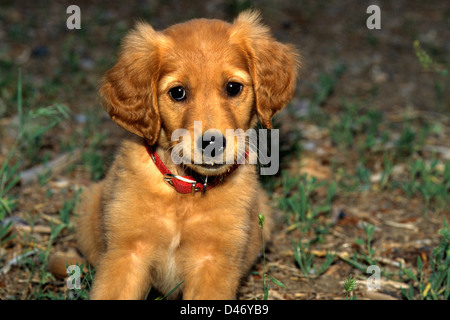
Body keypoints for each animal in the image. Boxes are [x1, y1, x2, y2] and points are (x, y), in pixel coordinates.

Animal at [77, 10, 298, 300]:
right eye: (178, 92)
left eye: (233, 87)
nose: (213, 143)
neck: (185, 189)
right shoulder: (126, 254)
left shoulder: (214, 262)